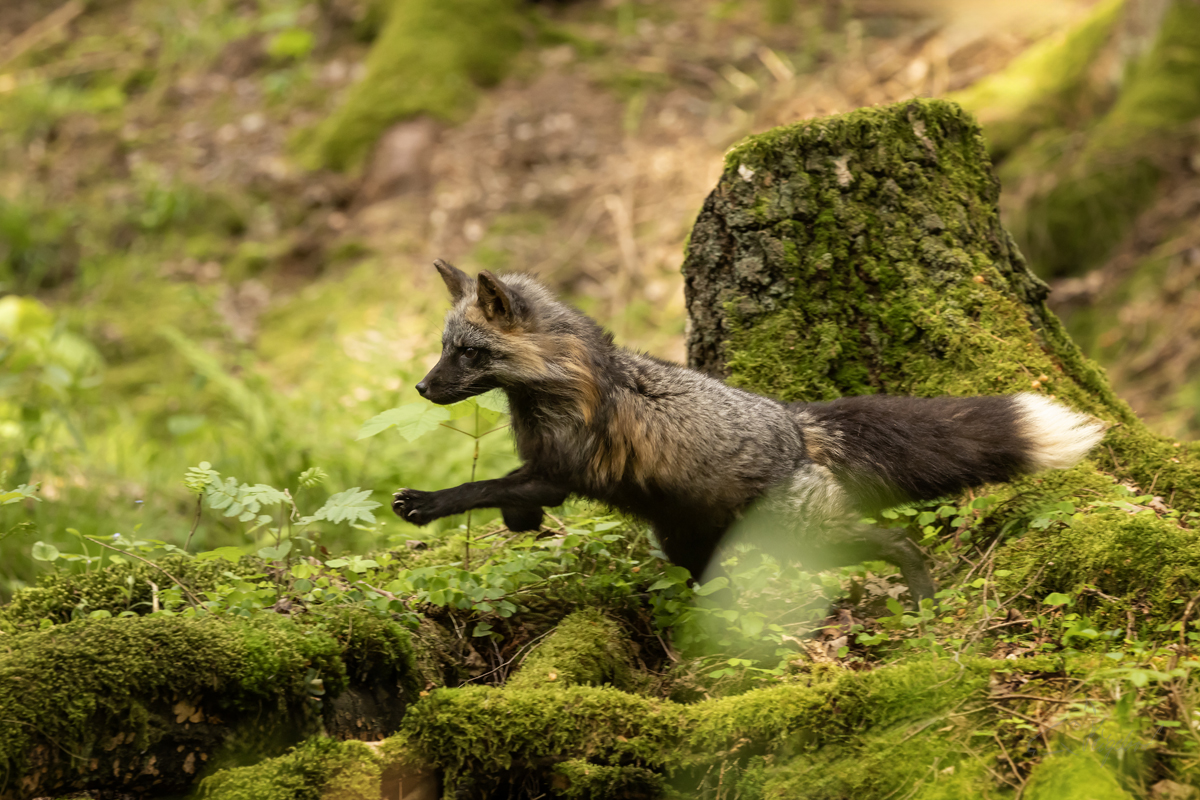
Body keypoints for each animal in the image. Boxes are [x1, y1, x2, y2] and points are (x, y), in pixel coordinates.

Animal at [393, 260, 1104, 604]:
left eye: (469, 354)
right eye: (445, 348)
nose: (423, 389)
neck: (559, 381)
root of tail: (794, 422)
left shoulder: (558, 469)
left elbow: (480, 488)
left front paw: (425, 503)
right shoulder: (546, 473)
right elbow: (509, 497)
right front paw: (519, 525)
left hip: (808, 538)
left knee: (899, 540)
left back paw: (923, 598)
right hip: (689, 541)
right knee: (714, 584)